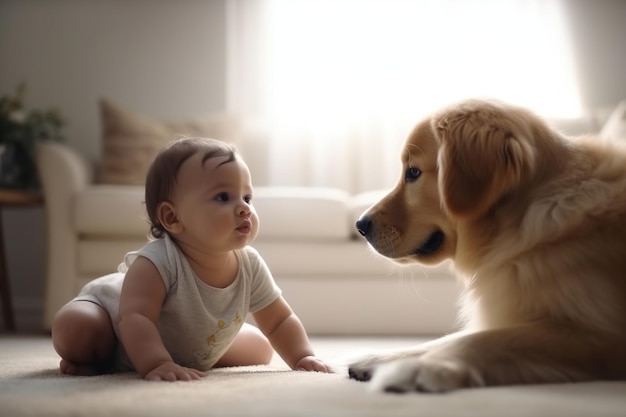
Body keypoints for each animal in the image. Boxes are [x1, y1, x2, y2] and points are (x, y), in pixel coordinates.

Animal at [348, 99, 624, 392]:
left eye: (413, 172)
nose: (360, 225)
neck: (520, 219)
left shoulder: (601, 334)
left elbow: (480, 340)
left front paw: (416, 369)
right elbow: (449, 337)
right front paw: (381, 357)